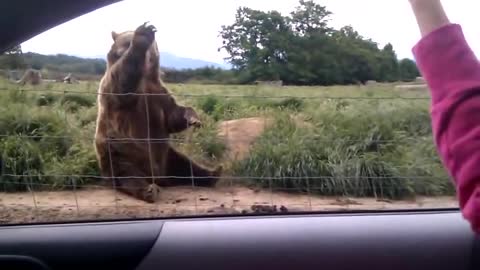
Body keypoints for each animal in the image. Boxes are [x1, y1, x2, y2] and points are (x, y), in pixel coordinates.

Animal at [94, 22, 222, 202]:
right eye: (125, 42)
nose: (122, 50)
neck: (145, 75)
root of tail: (158, 176)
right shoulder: (113, 89)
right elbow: (121, 85)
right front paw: (143, 34)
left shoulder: (158, 92)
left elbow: (172, 116)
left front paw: (193, 119)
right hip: (119, 151)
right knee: (127, 175)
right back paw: (148, 190)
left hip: (167, 156)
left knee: (185, 165)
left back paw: (213, 174)